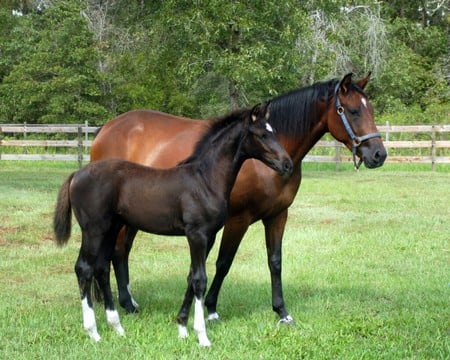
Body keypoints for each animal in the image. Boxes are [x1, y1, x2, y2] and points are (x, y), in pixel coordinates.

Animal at [53, 104, 292, 346]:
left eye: (273, 131)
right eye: (261, 134)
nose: (287, 164)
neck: (205, 179)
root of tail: (77, 174)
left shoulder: (209, 236)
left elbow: (191, 277)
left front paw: (182, 327)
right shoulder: (197, 234)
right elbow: (200, 280)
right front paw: (202, 335)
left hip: (111, 229)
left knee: (101, 267)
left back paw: (117, 326)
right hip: (94, 230)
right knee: (84, 268)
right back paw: (94, 331)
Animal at [91, 71, 386, 324]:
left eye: (370, 109)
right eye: (353, 110)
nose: (379, 154)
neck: (258, 160)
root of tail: (105, 129)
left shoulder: (278, 216)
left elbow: (275, 262)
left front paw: (282, 312)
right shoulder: (237, 219)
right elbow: (224, 263)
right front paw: (211, 310)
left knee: (121, 252)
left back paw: (124, 302)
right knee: (117, 251)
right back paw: (124, 304)